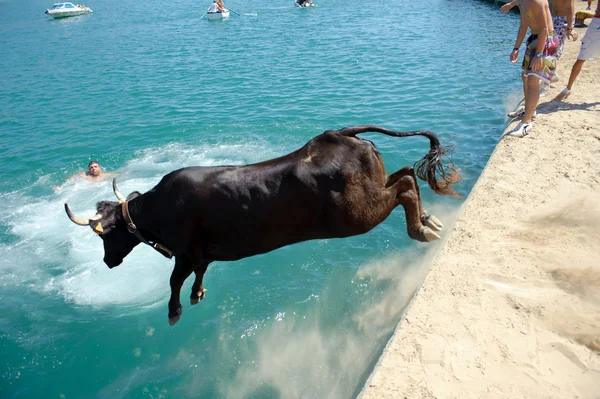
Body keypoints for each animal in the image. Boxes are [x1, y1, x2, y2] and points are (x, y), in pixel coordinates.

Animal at [65, 126, 460, 326]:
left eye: (104, 236)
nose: (107, 262)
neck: (159, 208)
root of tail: (337, 135)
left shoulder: (184, 252)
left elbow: (175, 280)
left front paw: (174, 311)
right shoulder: (201, 254)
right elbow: (198, 274)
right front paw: (197, 294)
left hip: (359, 213)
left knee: (404, 185)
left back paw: (420, 228)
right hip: (369, 192)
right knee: (406, 174)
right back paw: (428, 219)